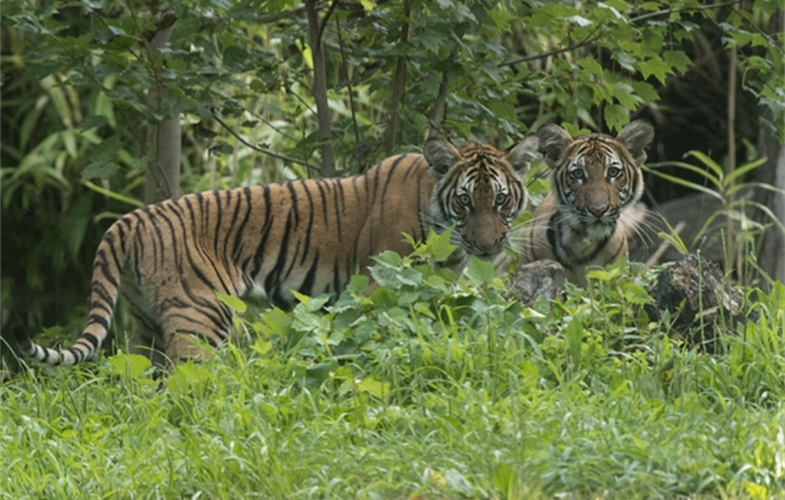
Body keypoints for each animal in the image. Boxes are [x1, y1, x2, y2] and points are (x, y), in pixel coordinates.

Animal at [18, 135, 540, 370]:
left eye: (500, 200)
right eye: (466, 201)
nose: (488, 245)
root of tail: (129, 219)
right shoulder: (377, 285)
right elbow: (378, 334)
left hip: (144, 325)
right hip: (200, 316)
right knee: (188, 384)